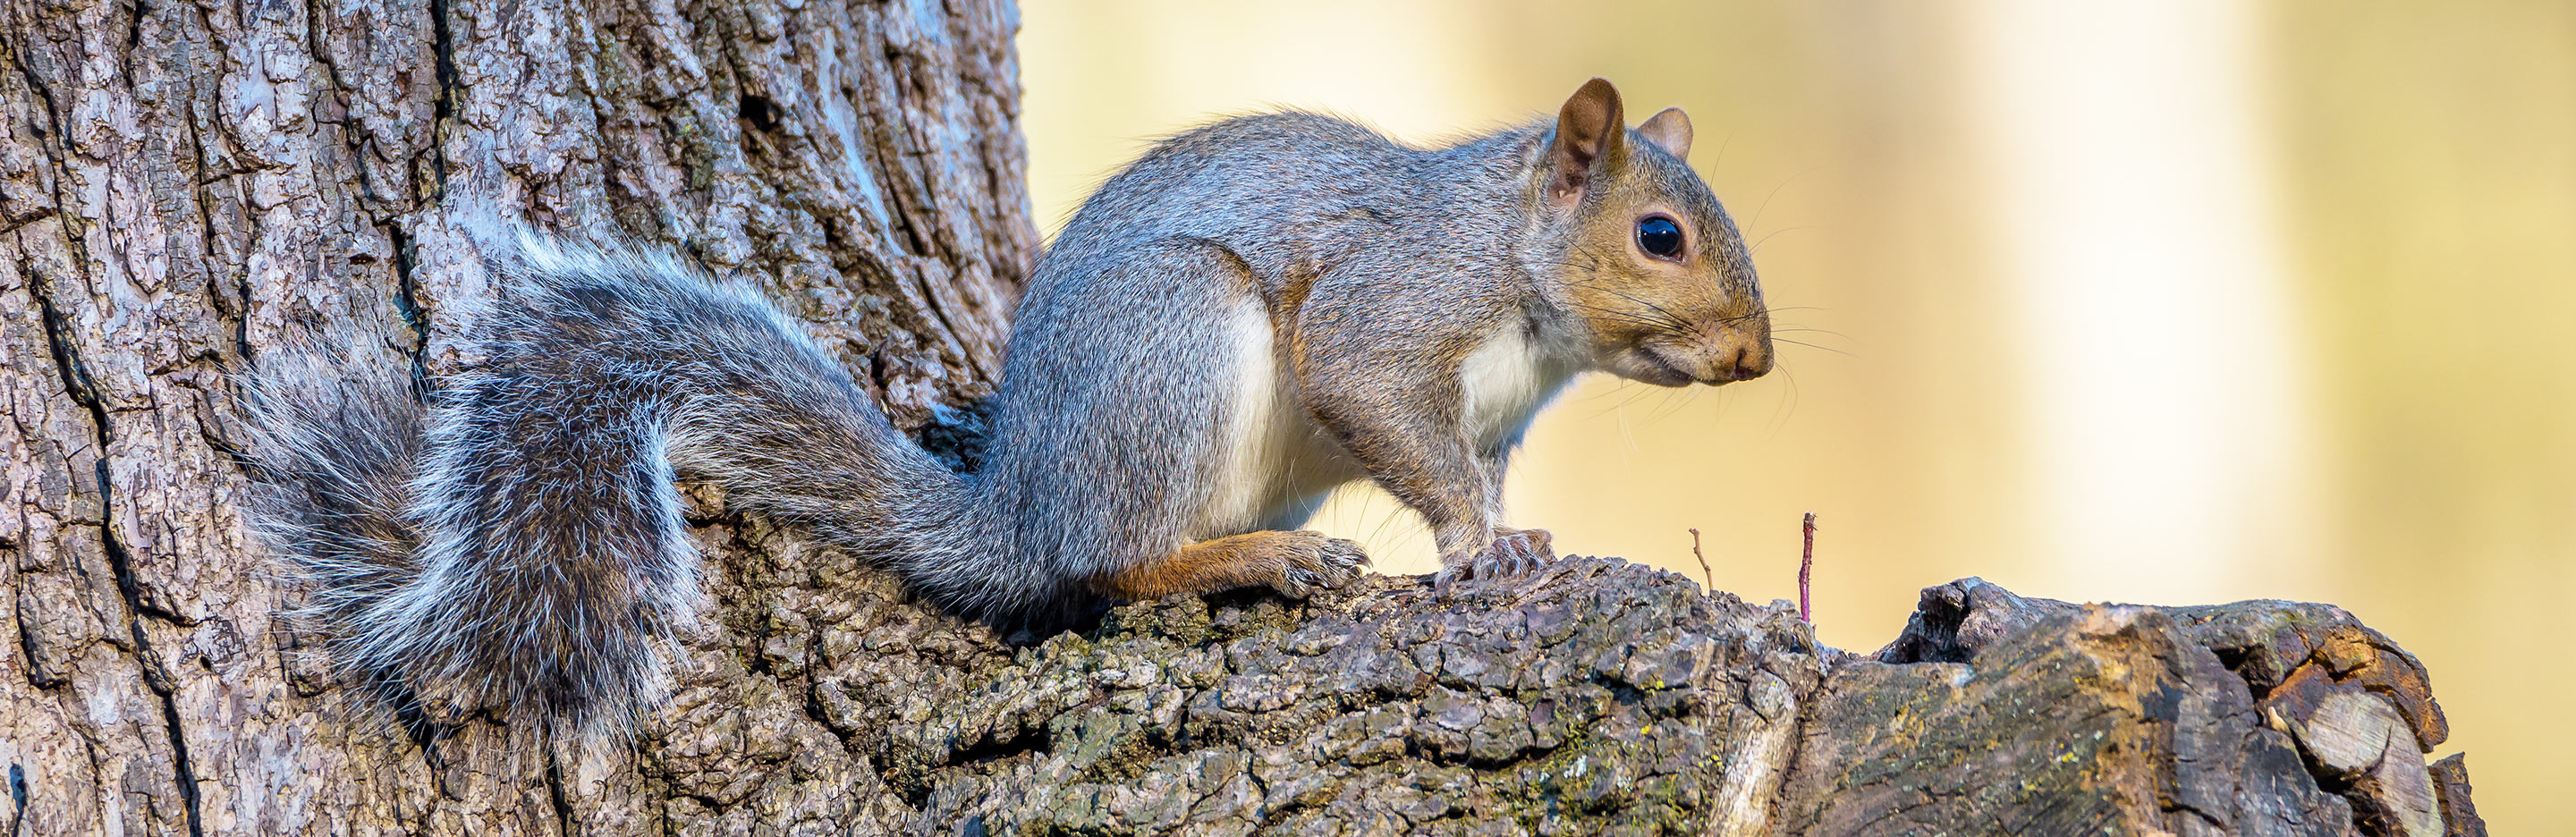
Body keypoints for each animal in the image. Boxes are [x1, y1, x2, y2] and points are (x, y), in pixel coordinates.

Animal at [240, 78, 1773, 733]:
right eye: (1658, 236)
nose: (1758, 360)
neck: (1515, 268)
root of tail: (1019, 507)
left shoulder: (1495, 415)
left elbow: (1477, 476)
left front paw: (1505, 541)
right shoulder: (1390, 310)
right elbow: (1389, 411)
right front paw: (1486, 551)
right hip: (1174, 342)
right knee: (1108, 564)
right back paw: (1247, 558)